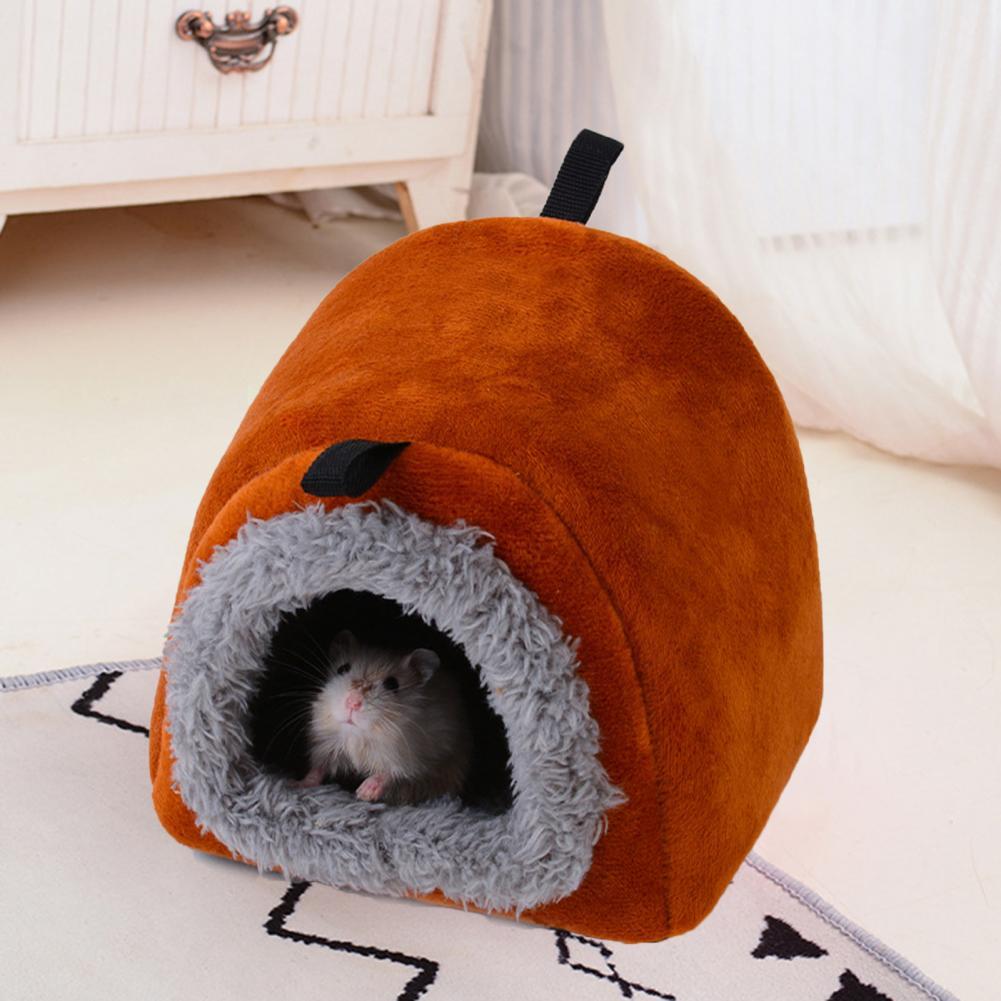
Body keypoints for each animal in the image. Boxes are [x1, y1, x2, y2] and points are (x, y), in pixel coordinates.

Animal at [299, 629, 473, 806]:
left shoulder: (409, 755)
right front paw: (297, 784)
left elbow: (391, 773)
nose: (353, 702)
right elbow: (318, 768)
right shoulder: (327, 745)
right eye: (342, 669)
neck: (359, 733)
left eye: (392, 684)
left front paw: (364, 793)